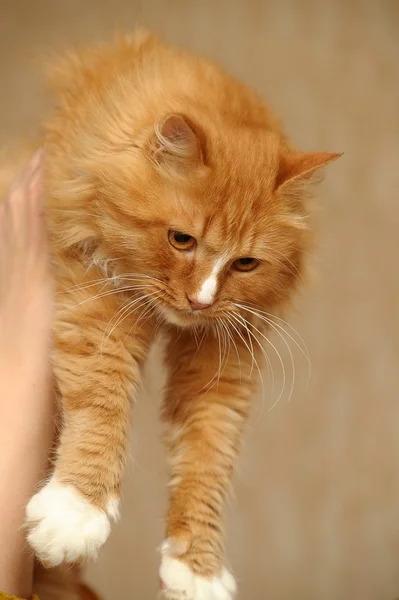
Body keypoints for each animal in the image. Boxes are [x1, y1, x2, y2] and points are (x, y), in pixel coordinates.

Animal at [0, 32, 340, 600]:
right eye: (182, 240)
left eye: (245, 264)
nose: (201, 301)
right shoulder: (94, 292)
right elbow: (103, 395)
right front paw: (76, 512)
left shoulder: (221, 358)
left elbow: (208, 458)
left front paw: (196, 570)